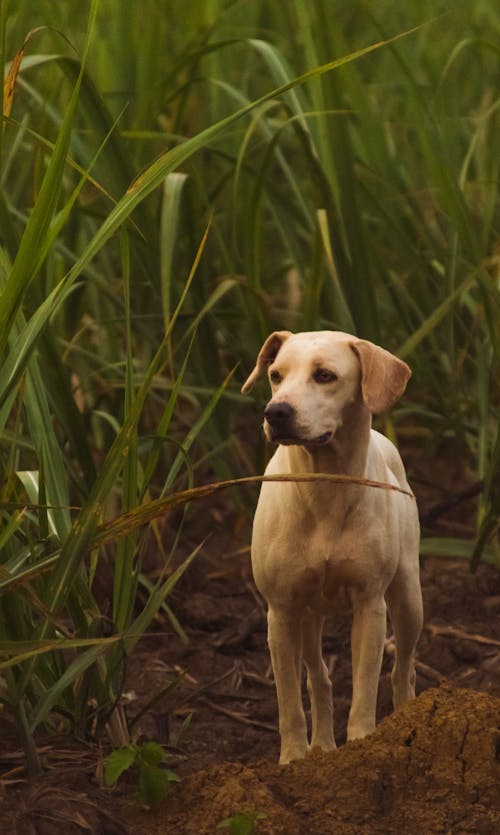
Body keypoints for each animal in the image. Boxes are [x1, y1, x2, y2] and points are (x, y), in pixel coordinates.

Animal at [242, 332, 422, 764]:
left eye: (325, 375)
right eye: (275, 375)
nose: (276, 412)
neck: (323, 486)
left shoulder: (371, 605)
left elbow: (364, 689)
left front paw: (362, 745)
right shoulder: (281, 611)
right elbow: (289, 700)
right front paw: (294, 758)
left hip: (409, 597)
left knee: (403, 668)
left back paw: (407, 719)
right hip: (308, 615)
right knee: (318, 678)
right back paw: (322, 745)